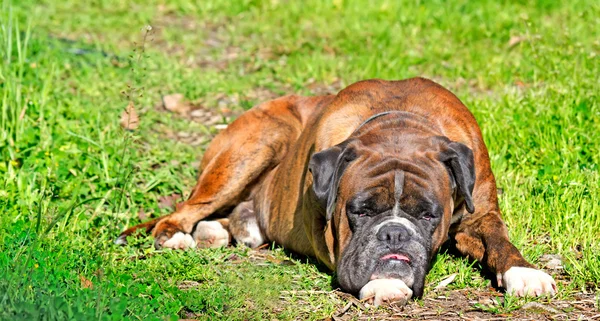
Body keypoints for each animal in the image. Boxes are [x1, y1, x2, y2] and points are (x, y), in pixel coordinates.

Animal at [117, 77, 556, 304]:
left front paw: (525, 273)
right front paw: (386, 283)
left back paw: (219, 231)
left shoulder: (481, 214)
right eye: (360, 211)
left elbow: (499, 240)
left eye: (428, 214)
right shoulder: (325, 230)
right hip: (254, 146)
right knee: (182, 210)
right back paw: (178, 236)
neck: (402, 126)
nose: (394, 234)